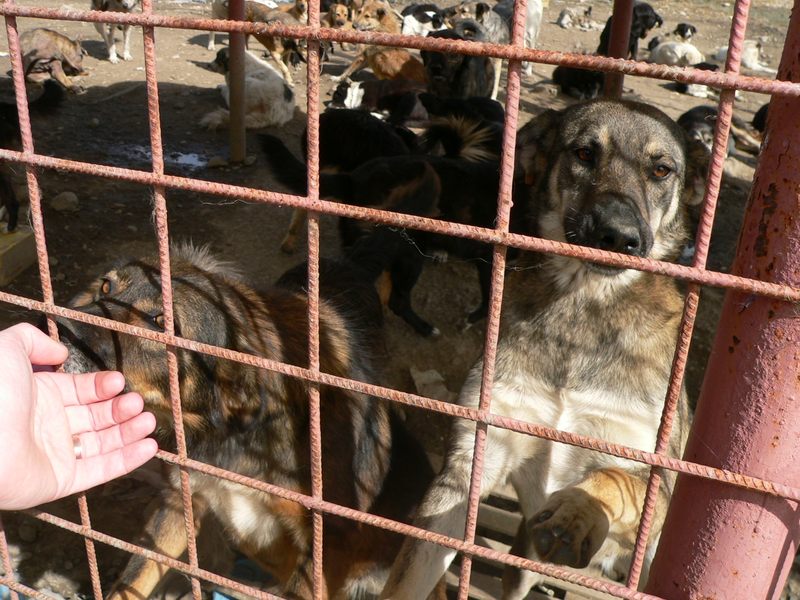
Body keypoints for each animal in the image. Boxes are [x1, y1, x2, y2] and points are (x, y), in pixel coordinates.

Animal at [58, 242, 446, 600]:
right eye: (106, 286)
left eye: (160, 322)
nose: (57, 328)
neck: (235, 433)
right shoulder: (181, 499)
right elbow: (134, 576)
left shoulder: (324, 546)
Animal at [380, 100, 697, 599]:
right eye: (584, 153)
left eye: (661, 170)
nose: (618, 236)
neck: (583, 308)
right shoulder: (469, 466)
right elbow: (409, 576)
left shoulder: (655, 488)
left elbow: (612, 477)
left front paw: (577, 513)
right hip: (521, 565)